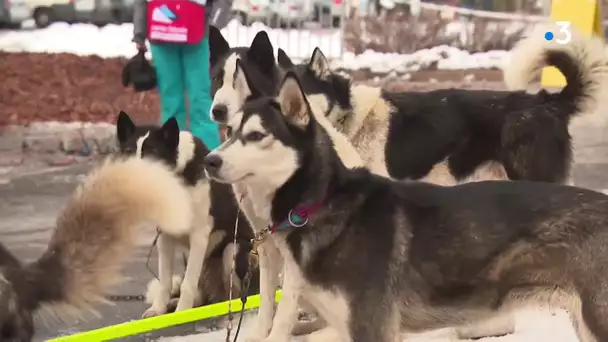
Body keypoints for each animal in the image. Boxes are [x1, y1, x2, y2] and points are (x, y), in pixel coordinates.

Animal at [115, 111, 258, 316]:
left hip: (234, 250)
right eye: (127, 152)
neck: (176, 175)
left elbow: (188, 283)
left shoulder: (199, 235)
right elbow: (165, 281)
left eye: (153, 155)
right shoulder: (165, 237)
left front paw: (182, 312)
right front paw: (158, 310)